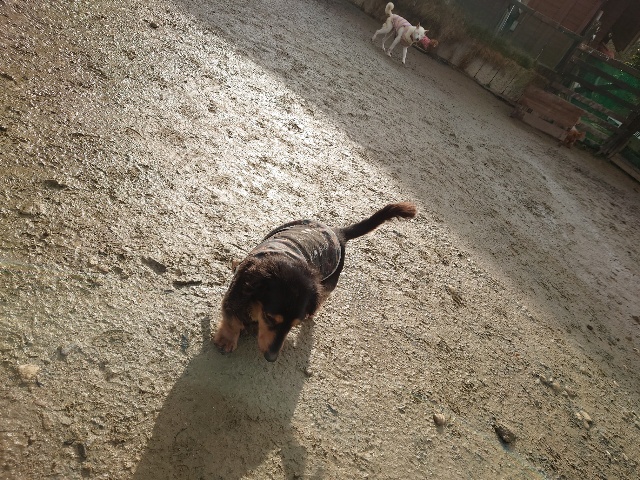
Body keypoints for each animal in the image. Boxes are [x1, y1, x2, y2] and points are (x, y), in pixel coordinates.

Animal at [214, 202, 417, 361]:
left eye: (294, 325)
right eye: (270, 318)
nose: (271, 358)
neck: (285, 262)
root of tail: (338, 233)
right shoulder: (237, 293)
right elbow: (232, 320)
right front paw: (227, 340)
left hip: (329, 282)